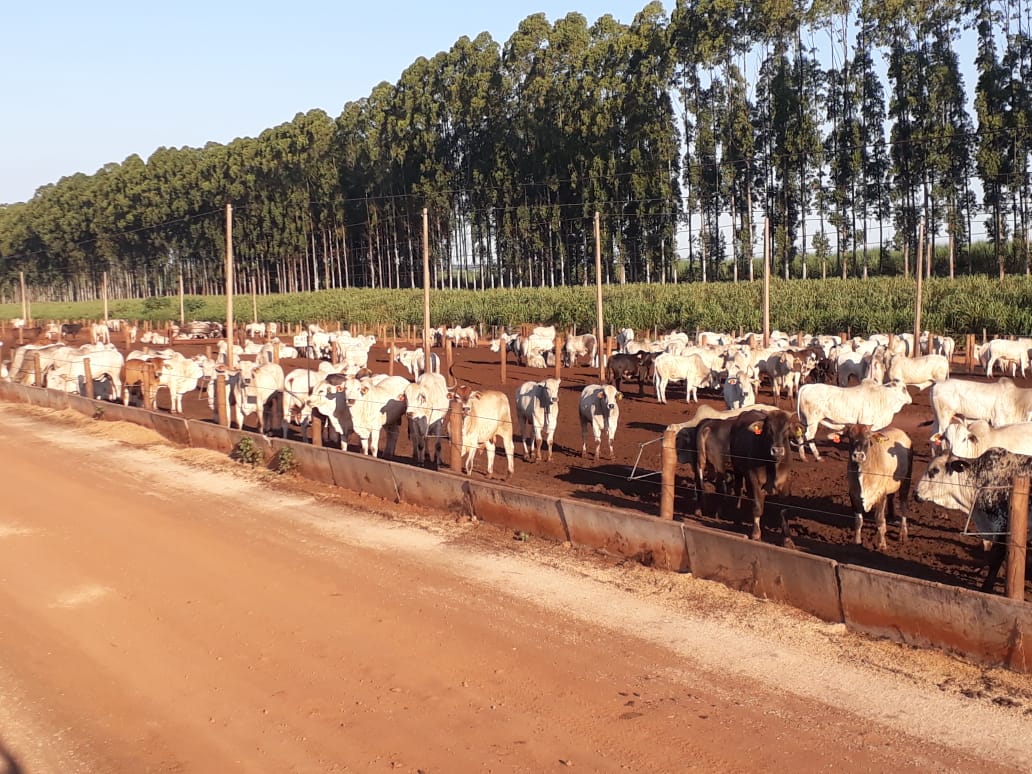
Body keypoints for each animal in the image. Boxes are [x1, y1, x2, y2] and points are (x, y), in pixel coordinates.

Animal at [829, 425, 912, 553]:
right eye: (850, 436)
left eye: (868, 437)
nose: (858, 455)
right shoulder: (853, 495)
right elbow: (858, 521)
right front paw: (857, 542)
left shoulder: (881, 494)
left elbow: (880, 520)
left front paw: (882, 544)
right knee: (891, 497)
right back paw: (891, 517)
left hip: (905, 482)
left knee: (903, 506)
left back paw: (903, 533)